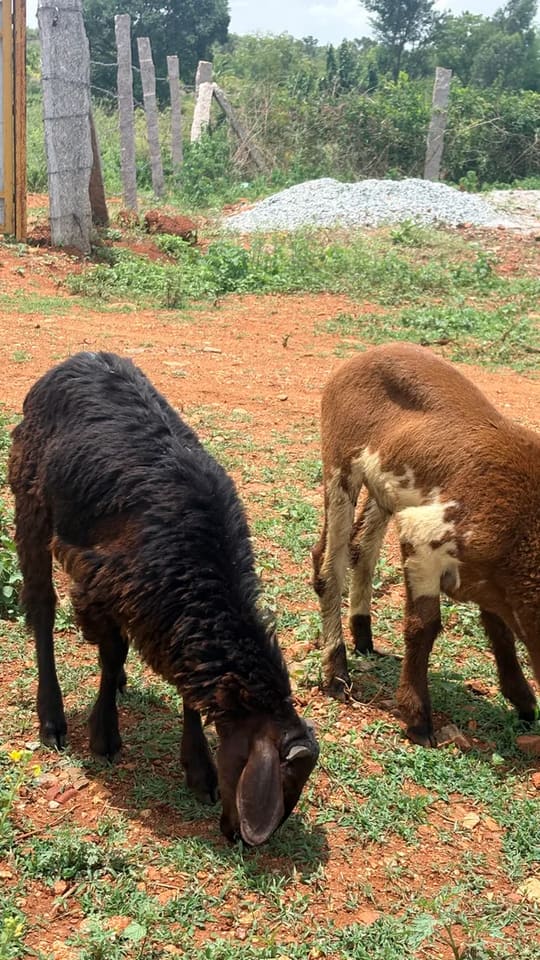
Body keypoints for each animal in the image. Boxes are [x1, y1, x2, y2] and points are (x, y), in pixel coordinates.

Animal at [8, 351, 318, 845]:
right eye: (284, 783)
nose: (239, 838)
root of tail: (77, 360)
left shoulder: (169, 615)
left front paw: (199, 770)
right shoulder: (96, 580)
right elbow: (112, 652)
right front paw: (104, 736)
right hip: (30, 502)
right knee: (41, 607)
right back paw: (52, 719)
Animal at [312, 342, 540, 746]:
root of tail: (364, 356)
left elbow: (498, 630)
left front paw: (523, 701)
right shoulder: (423, 535)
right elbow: (424, 626)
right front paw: (417, 718)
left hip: (386, 489)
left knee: (361, 549)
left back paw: (364, 636)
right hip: (340, 466)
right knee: (328, 567)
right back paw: (337, 674)